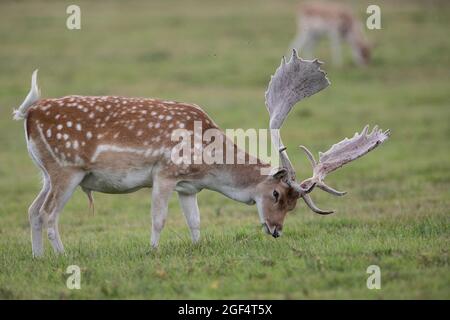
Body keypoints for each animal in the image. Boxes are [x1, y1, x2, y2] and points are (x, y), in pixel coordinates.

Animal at [12, 50, 388, 258]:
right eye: (277, 194)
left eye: (294, 206)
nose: (277, 230)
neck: (208, 165)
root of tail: (28, 113)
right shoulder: (164, 172)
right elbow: (158, 218)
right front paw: (153, 251)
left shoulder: (188, 187)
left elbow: (194, 221)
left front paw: (197, 247)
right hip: (67, 170)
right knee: (48, 213)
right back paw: (62, 257)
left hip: (46, 173)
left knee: (32, 210)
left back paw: (39, 258)